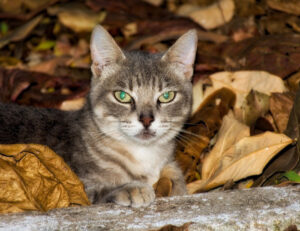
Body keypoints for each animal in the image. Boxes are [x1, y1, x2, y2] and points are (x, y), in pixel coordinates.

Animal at [0, 25, 198, 208]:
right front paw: (130, 188)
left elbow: (173, 171)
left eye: (166, 96)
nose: (147, 120)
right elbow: (93, 192)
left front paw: (175, 183)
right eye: (122, 96)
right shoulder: (69, 186)